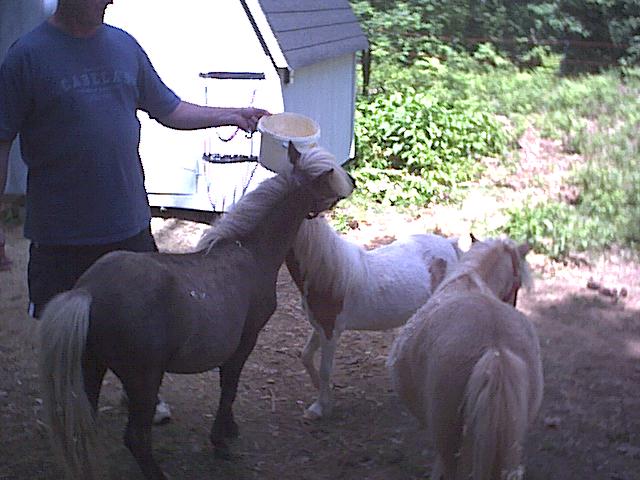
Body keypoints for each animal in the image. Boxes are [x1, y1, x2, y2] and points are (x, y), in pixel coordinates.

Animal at [38, 143, 355, 480]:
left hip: (92, 367)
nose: (350, 183)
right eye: (328, 179)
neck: (249, 251)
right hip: (144, 379)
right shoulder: (245, 341)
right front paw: (222, 440)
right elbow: (229, 387)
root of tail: (88, 292)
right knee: (136, 437)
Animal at [284, 216, 461, 419]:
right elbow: (306, 356)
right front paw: (324, 395)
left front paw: (319, 407)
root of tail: (449, 244)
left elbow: (325, 370)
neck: (328, 276)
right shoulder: (320, 326)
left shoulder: (331, 331)